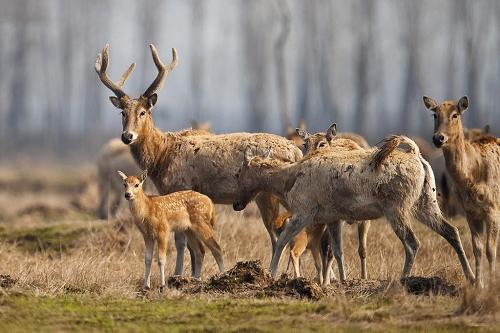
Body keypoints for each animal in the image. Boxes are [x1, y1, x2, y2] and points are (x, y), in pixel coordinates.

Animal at [95, 43, 302, 274]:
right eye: (122, 112)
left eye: (143, 112)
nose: (127, 136)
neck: (162, 158)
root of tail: (296, 151)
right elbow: (192, 247)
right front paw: (194, 275)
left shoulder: (180, 187)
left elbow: (181, 242)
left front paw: (178, 275)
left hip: (266, 194)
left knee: (276, 235)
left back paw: (272, 274)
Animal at [232, 128, 474, 284]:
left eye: (238, 173)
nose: (236, 204)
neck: (288, 179)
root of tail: (418, 156)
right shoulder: (331, 217)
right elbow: (337, 250)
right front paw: (342, 280)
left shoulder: (304, 212)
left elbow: (282, 240)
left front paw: (270, 274)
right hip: (426, 203)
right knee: (451, 231)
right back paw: (472, 277)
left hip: (396, 208)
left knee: (413, 242)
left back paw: (403, 279)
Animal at [422, 95, 500, 286]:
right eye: (435, 114)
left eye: (455, 114)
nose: (438, 138)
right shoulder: (470, 212)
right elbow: (477, 248)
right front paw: (479, 284)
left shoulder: (493, 209)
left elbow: (491, 249)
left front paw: (493, 283)